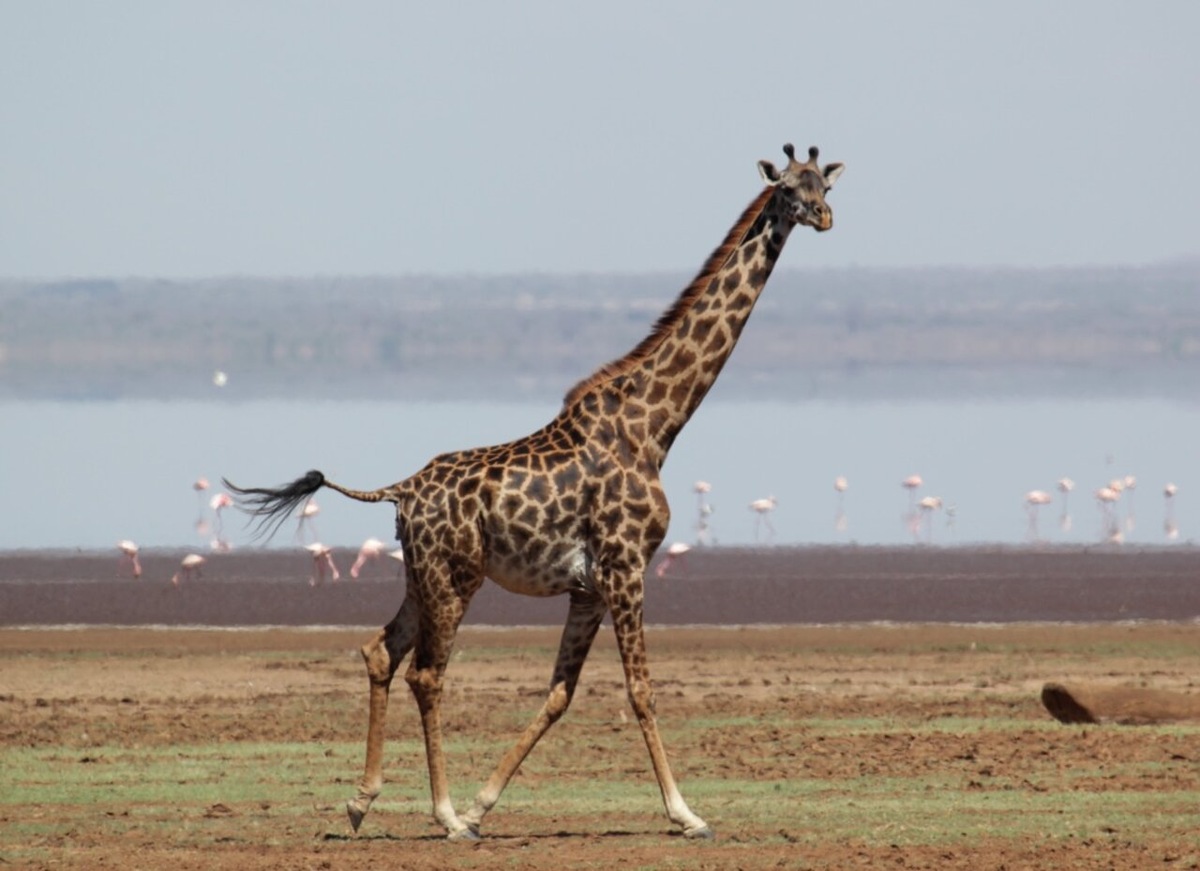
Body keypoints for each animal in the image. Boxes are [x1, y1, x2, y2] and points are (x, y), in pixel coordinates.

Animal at [225, 142, 843, 841]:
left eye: (824, 184)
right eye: (789, 187)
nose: (824, 217)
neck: (654, 426)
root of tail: (400, 490)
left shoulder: (590, 586)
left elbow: (559, 693)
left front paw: (483, 802)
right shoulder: (627, 567)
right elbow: (641, 689)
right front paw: (687, 814)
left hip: (421, 573)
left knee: (380, 651)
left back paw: (362, 803)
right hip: (455, 577)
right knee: (428, 673)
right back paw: (443, 816)